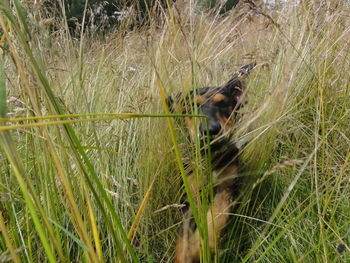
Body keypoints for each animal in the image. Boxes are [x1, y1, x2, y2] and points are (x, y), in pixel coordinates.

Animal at [166, 63, 254, 262]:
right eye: (192, 106)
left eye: (224, 103)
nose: (210, 130)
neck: (210, 158)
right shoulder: (189, 197)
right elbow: (182, 238)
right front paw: (187, 253)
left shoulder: (226, 189)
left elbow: (216, 219)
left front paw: (201, 247)